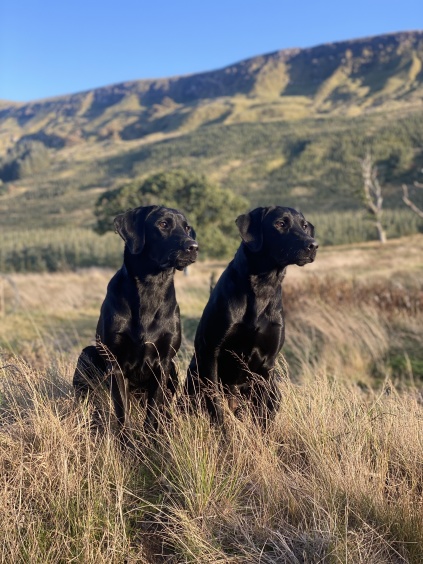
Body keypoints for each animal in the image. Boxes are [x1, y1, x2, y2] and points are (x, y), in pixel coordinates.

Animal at [74, 206, 199, 432]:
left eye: (187, 228)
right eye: (163, 224)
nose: (193, 246)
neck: (150, 286)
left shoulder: (163, 362)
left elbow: (153, 408)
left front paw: (150, 436)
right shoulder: (115, 362)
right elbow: (121, 410)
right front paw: (125, 438)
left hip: (173, 369)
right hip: (87, 355)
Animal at [186, 206, 318, 424]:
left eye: (305, 225)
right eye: (280, 224)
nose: (313, 245)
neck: (262, 286)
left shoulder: (267, 363)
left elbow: (262, 415)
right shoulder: (211, 351)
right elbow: (216, 407)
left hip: (274, 390)